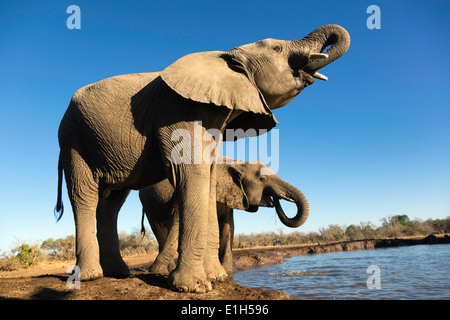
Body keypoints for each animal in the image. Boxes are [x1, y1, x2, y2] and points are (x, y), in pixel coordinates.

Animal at [141, 158, 310, 276]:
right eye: (263, 179)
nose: (275, 200)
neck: (236, 163)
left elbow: (228, 226)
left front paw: (227, 273)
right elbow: (178, 220)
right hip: (149, 202)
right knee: (160, 229)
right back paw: (162, 272)